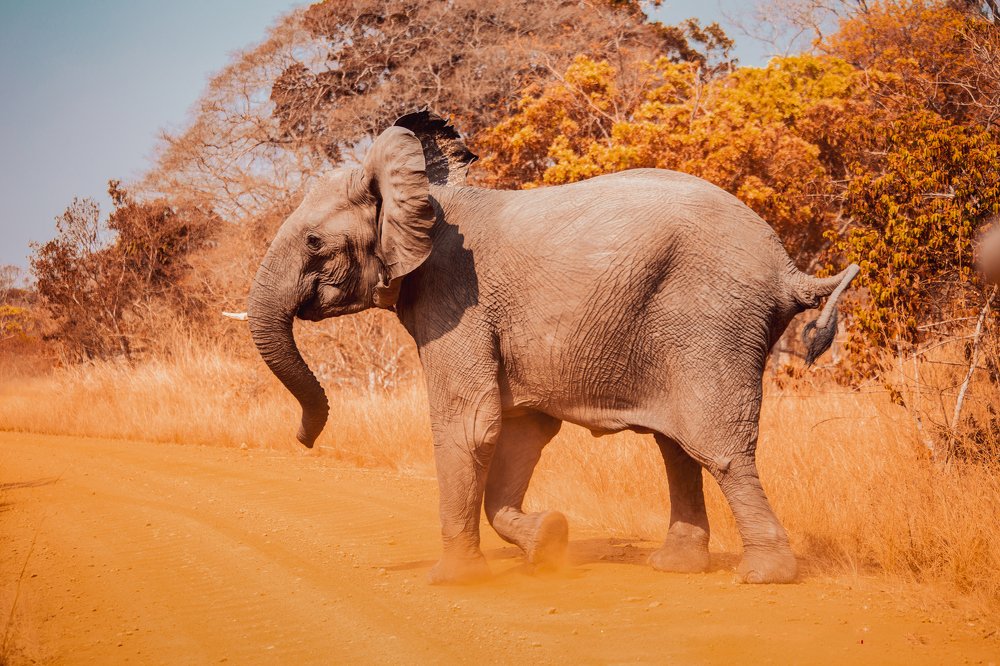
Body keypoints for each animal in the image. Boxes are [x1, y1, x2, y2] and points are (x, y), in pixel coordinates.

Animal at [244, 111, 859, 585]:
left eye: (314, 242)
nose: (302, 439)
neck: (422, 192)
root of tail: (787, 268)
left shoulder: (455, 298)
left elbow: (470, 424)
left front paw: (453, 581)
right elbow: (520, 430)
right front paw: (549, 541)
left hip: (712, 320)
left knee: (717, 445)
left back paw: (764, 576)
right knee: (676, 446)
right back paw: (675, 567)